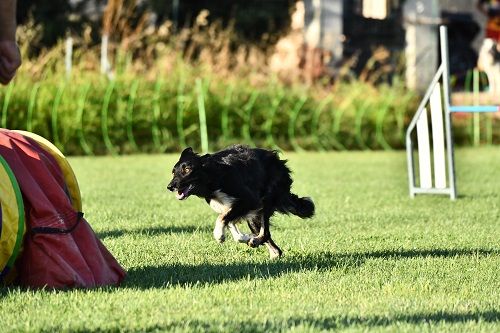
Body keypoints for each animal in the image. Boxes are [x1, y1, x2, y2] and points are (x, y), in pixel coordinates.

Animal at [166, 144, 314, 258]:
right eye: (173, 172)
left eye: (187, 169)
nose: (170, 187)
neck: (214, 177)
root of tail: (279, 161)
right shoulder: (229, 207)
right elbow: (230, 223)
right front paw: (243, 237)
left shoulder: (250, 201)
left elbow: (222, 218)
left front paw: (219, 235)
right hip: (255, 217)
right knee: (271, 242)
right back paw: (269, 251)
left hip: (267, 199)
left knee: (265, 233)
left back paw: (256, 241)